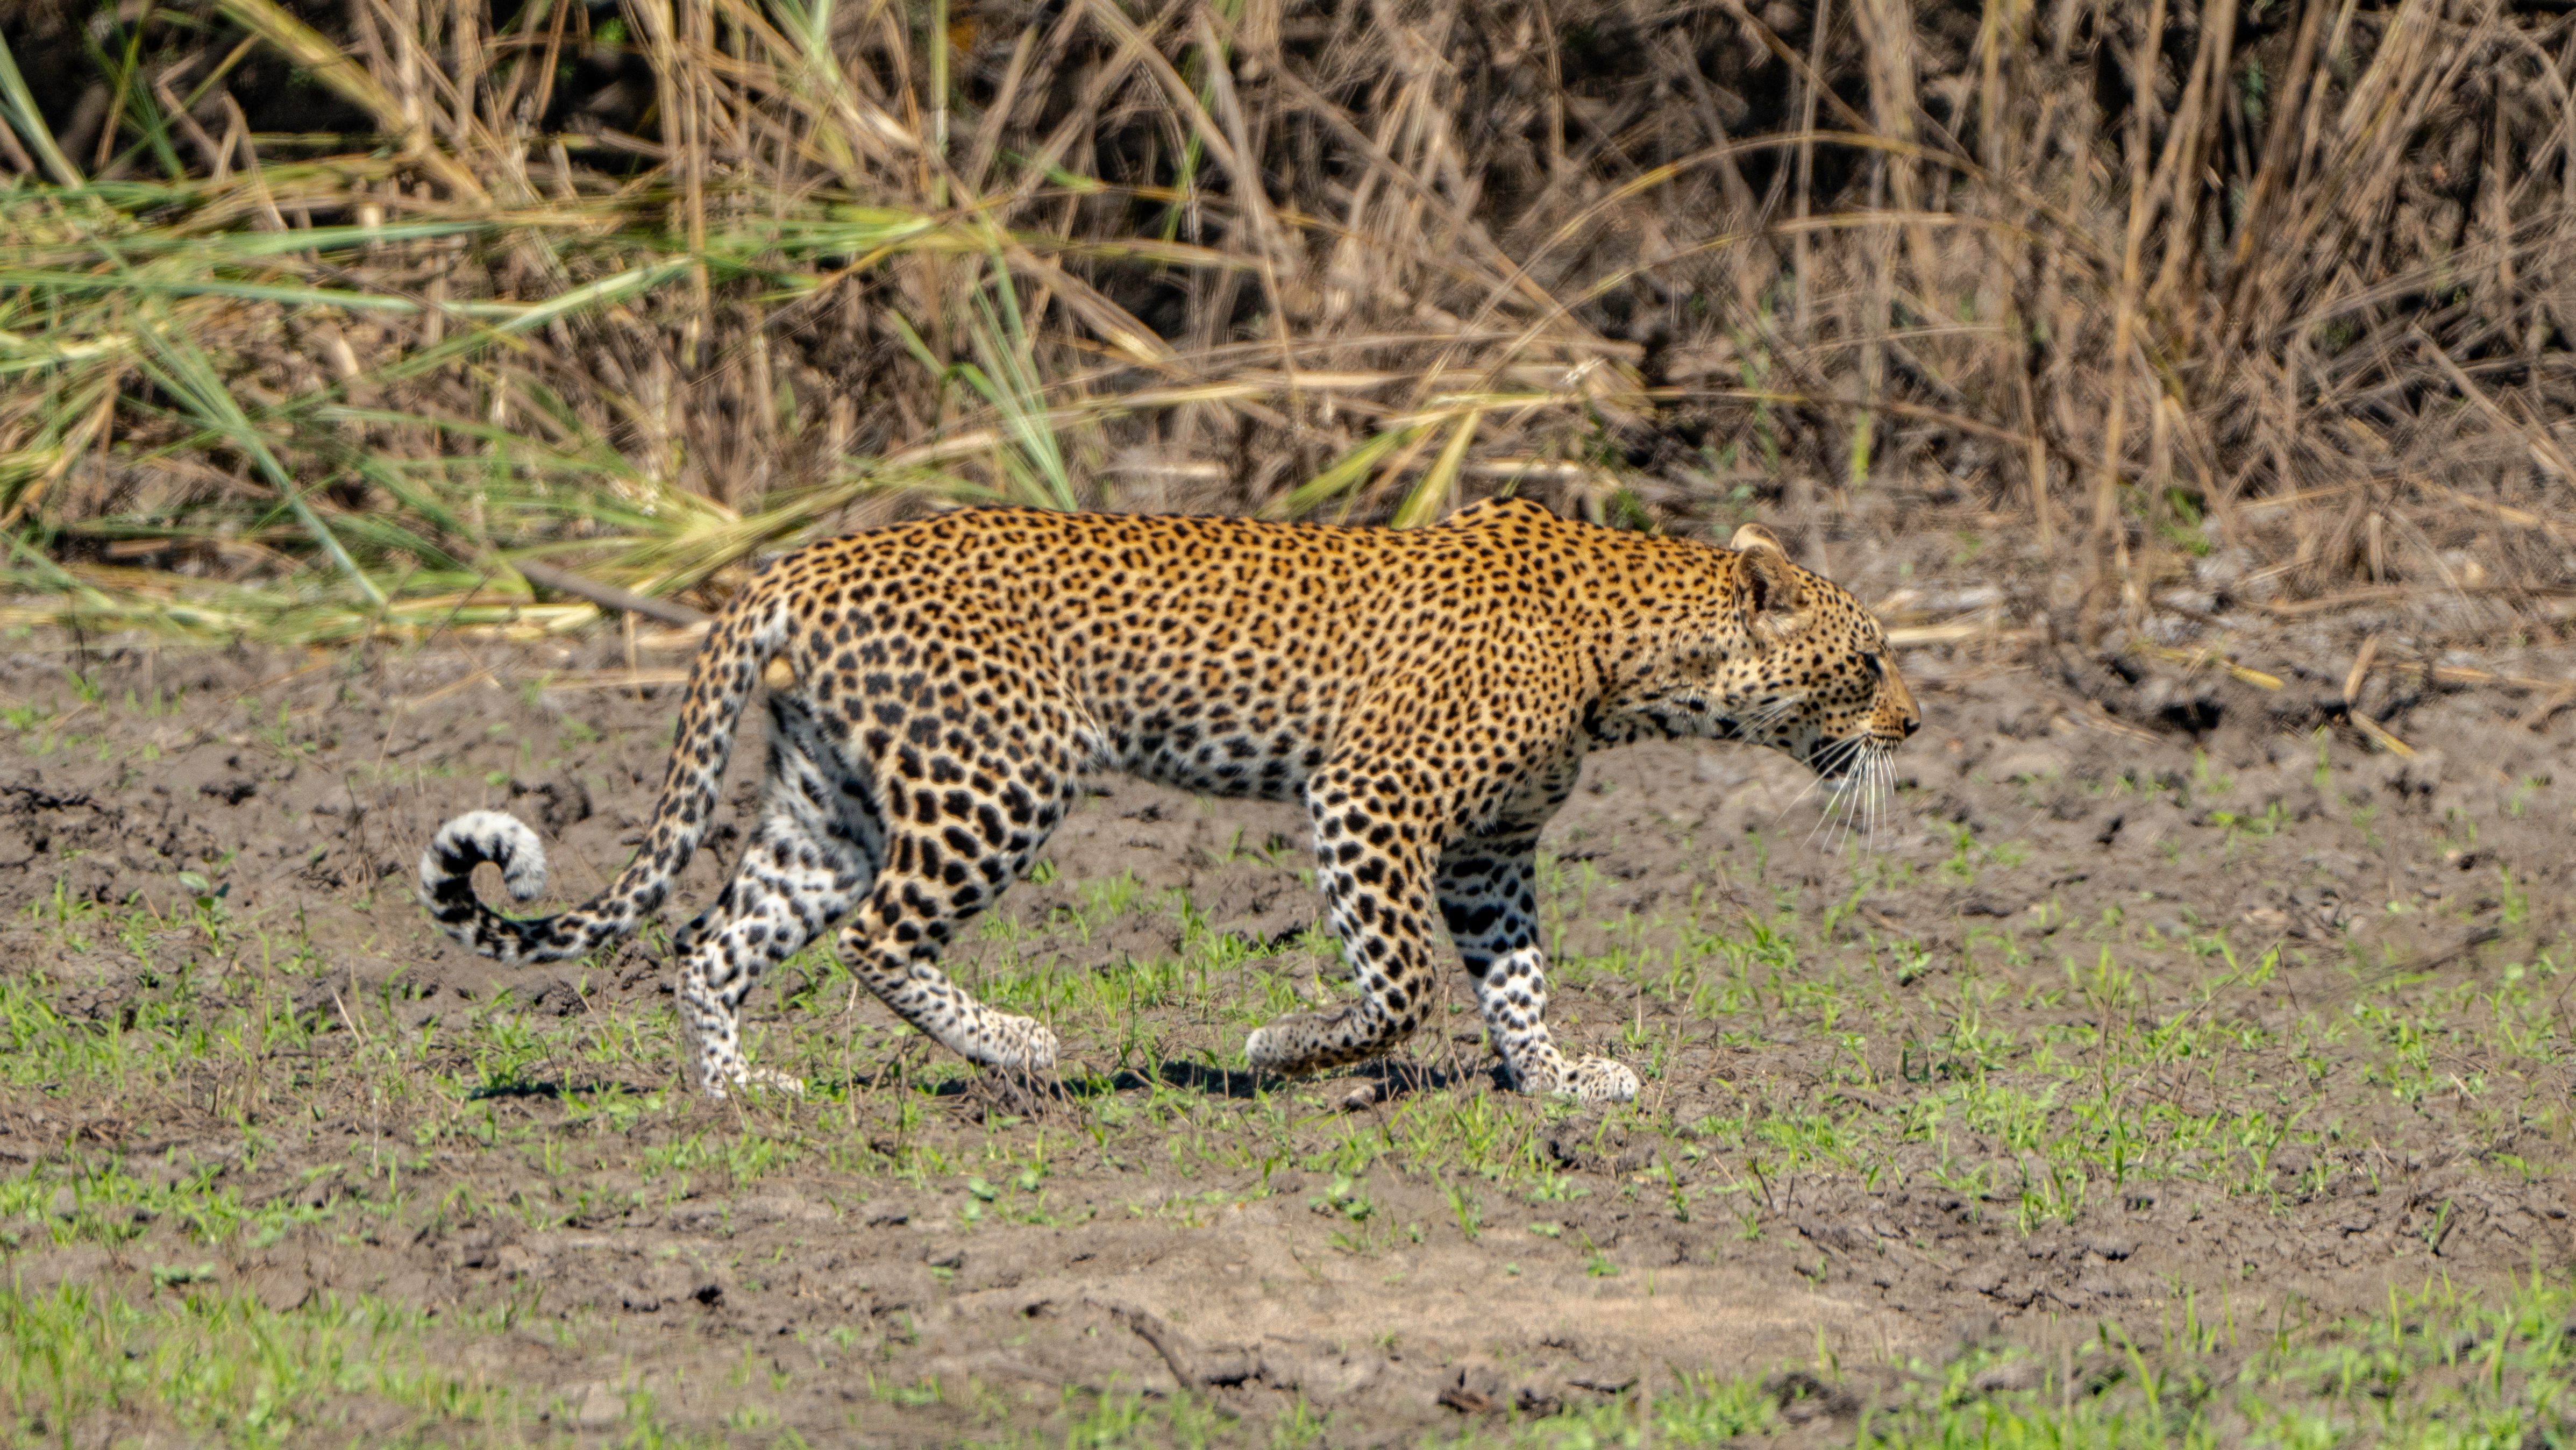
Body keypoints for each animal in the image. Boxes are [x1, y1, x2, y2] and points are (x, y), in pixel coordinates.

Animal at [420, 497, 1918, 1103]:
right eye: (1866, 662)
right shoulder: (1368, 796)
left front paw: (1553, 1078)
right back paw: (1018, 1049)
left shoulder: (1490, 851)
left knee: (711, 939)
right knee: (880, 938)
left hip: (829, 799)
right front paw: (1286, 1052)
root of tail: (805, 560)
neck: (1631, 655)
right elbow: (1399, 987)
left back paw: (741, 1094)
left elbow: (1514, 978)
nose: (1914, 721)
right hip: (1000, 775)